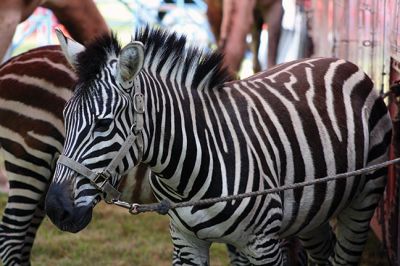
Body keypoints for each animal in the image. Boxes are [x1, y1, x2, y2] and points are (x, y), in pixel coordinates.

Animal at [44, 27, 390, 266]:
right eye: (65, 117)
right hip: (312, 212)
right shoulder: (185, 243)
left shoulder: (263, 244)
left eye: (102, 124)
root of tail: (340, 60)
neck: (186, 173)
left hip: (363, 200)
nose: (55, 209)